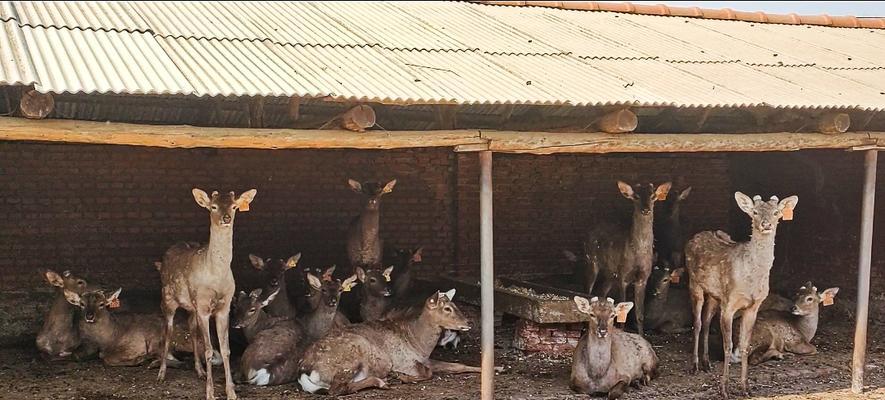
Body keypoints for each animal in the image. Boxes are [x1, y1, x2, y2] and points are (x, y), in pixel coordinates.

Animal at [156, 188, 256, 400]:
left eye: (234, 206)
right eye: (214, 206)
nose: (226, 218)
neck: (215, 277)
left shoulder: (224, 307)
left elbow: (225, 350)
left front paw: (231, 392)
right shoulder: (202, 306)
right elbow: (210, 350)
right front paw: (210, 393)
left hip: (191, 306)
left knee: (192, 330)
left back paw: (199, 371)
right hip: (167, 299)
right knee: (168, 332)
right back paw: (161, 374)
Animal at [298, 290, 480, 396]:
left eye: (454, 304)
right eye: (447, 308)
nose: (468, 322)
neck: (419, 344)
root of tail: (305, 371)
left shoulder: (425, 359)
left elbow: (457, 365)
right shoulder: (403, 361)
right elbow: (428, 373)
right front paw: (403, 377)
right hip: (351, 358)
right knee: (337, 389)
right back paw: (382, 381)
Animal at [580, 180, 668, 334]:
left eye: (653, 197)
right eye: (636, 196)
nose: (646, 210)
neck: (638, 253)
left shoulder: (643, 278)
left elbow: (639, 314)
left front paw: (641, 336)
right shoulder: (623, 275)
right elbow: (623, 310)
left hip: (610, 274)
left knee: (601, 291)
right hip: (591, 260)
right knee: (588, 290)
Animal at [680, 192, 796, 398]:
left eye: (776, 213)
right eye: (755, 212)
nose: (766, 224)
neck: (750, 281)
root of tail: (695, 236)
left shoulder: (753, 307)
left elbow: (744, 345)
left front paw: (745, 388)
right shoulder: (729, 303)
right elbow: (727, 346)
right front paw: (724, 389)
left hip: (715, 295)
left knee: (707, 322)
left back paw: (706, 363)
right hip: (695, 284)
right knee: (697, 323)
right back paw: (694, 365)